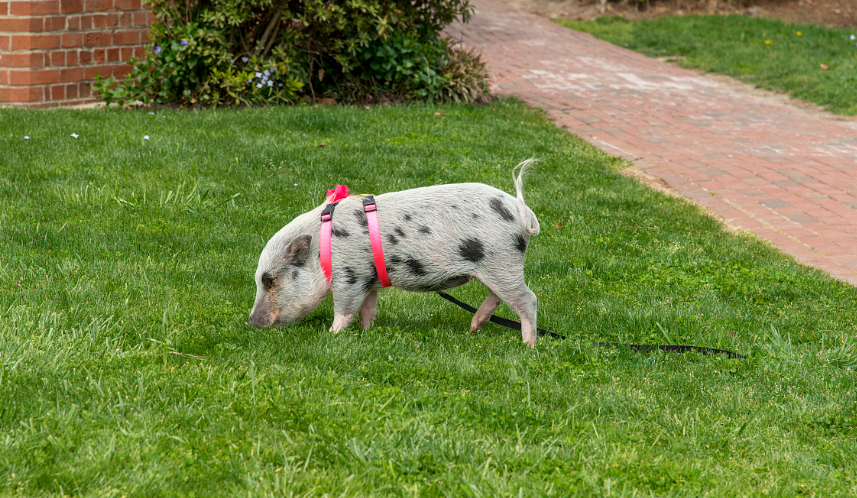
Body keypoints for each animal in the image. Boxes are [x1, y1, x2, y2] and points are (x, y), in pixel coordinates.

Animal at [249, 160, 540, 346]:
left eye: (269, 280)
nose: (250, 324)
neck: (322, 251)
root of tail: (523, 213)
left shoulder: (350, 276)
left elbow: (344, 309)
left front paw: (330, 335)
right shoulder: (368, 280)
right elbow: (367, 308)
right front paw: (366, 331)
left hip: (501, 260)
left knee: (528, 299)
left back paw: (528, 345)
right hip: (494, 267)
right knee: (498, 296)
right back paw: (473, 328)